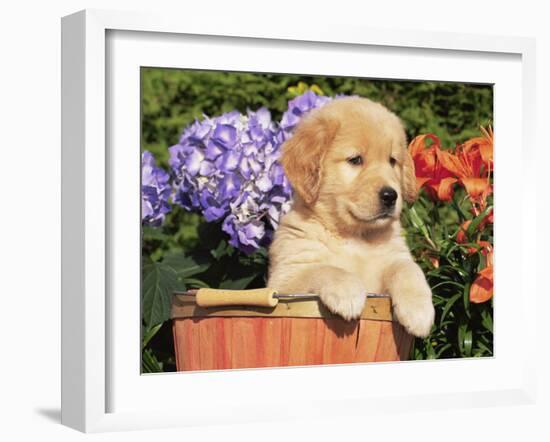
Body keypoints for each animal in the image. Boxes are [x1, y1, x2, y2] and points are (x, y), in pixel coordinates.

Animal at [270, 97, 438, 338]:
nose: (390, 196)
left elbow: (408, 269)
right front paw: (347, 292)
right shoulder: (284, 279)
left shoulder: (395, 256)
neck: (356, 236)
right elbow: (323, 269)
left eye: (392, 161)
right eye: (356, 160)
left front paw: (419, 311)